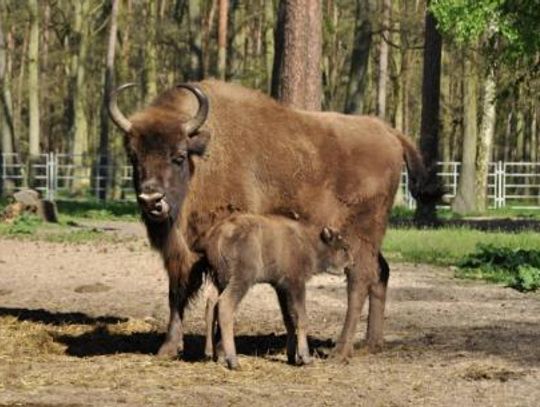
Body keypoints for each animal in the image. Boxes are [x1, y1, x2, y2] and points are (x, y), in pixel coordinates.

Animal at [194, 214, 354, 370]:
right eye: (344, 248)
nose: (352, 262)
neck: (310, 242)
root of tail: (217, 235)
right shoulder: (296, 285)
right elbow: (302, 318)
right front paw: (305, 358)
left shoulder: (281, 288)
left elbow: (289, 319)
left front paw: (291, 357)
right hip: (241, 279)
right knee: (225, 305)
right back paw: (233, 362)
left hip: (220, 280)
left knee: (211, 305)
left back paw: (213, 354)